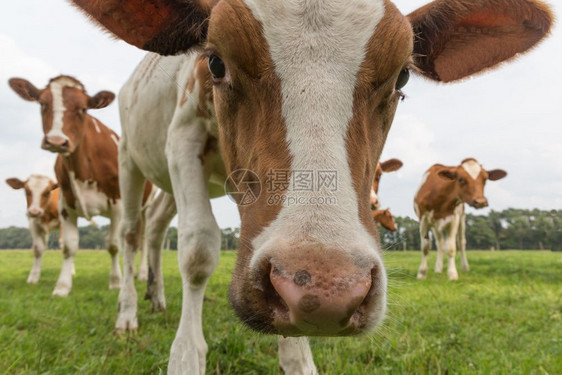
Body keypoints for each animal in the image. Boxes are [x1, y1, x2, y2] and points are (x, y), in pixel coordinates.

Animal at [7, 76, 152, 298]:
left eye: (83, 109)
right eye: (42, 103)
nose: (57, 140)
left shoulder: (117, 205)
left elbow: (113, 245)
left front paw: (116, 282)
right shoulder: (66, 206)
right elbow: (68, 246)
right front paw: (62, 287)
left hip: (144, 208)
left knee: (142, 241)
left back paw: (142, 273)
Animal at [71, 0, 552, 374]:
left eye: (402, 78)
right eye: (215, 62)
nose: (329, 288)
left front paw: (298, 360)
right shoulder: (183, 137)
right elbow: (198, 249)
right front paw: (186, 358)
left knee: (155, 228)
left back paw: (155, 296)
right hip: (131, 159)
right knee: (131, 233)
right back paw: (129, 311)